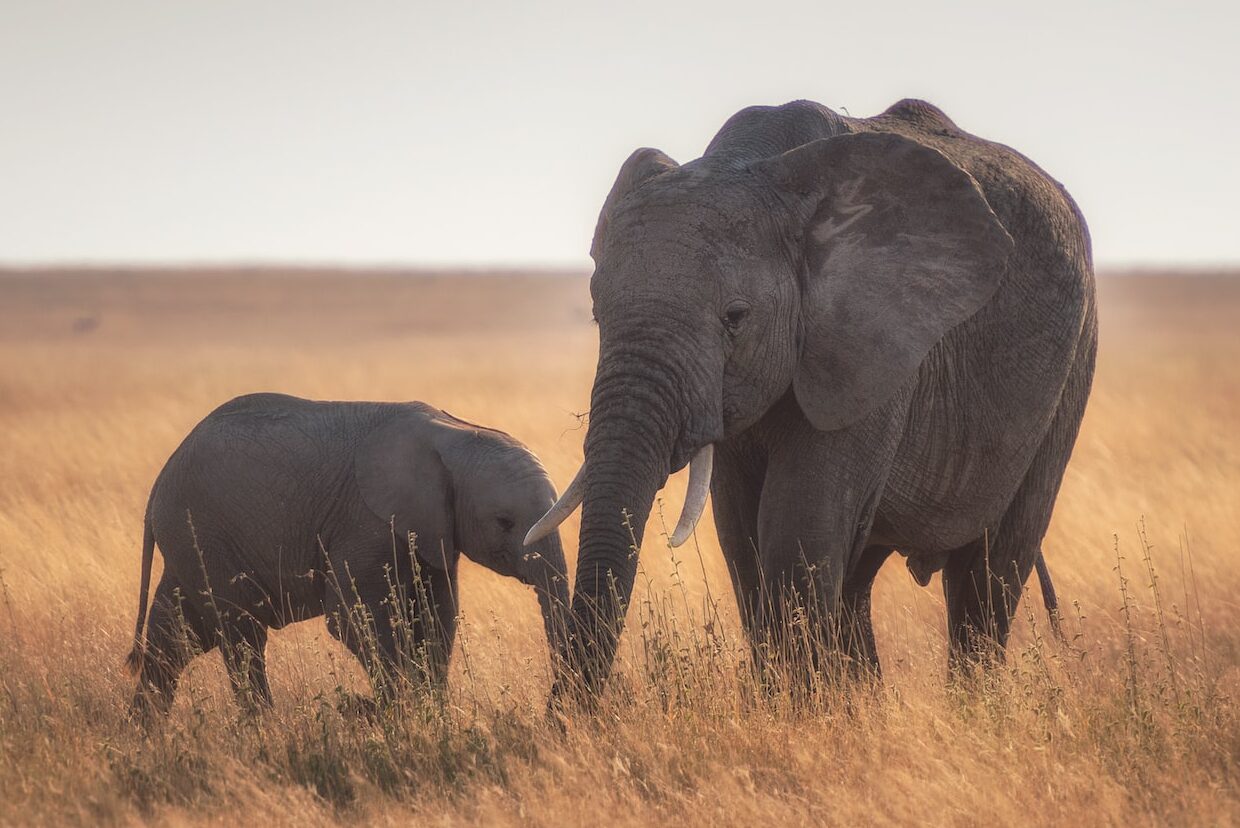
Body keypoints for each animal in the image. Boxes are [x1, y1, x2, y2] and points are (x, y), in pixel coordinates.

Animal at [128, 394, 567, 713]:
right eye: (504, 522)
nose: (554, 705)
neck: (455, 433)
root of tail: (158, 483)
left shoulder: (432, 530)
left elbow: (437, 616)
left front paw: (432, 714)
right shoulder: (365, 521)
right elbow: (354, 618)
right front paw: (398, 714)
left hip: (191, 543)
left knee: (175, 638)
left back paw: (147, 737)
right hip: (203, 534)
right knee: (241, 634)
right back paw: (264, 729)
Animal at [525, 95, 1096, 694]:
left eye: (735, 318)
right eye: (596, 313)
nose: (567, 712)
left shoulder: (873, 345)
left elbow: (796, 529)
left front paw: (801, 708)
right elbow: (742, 536)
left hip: (1073, 364)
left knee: (990, 570)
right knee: (859, 578)